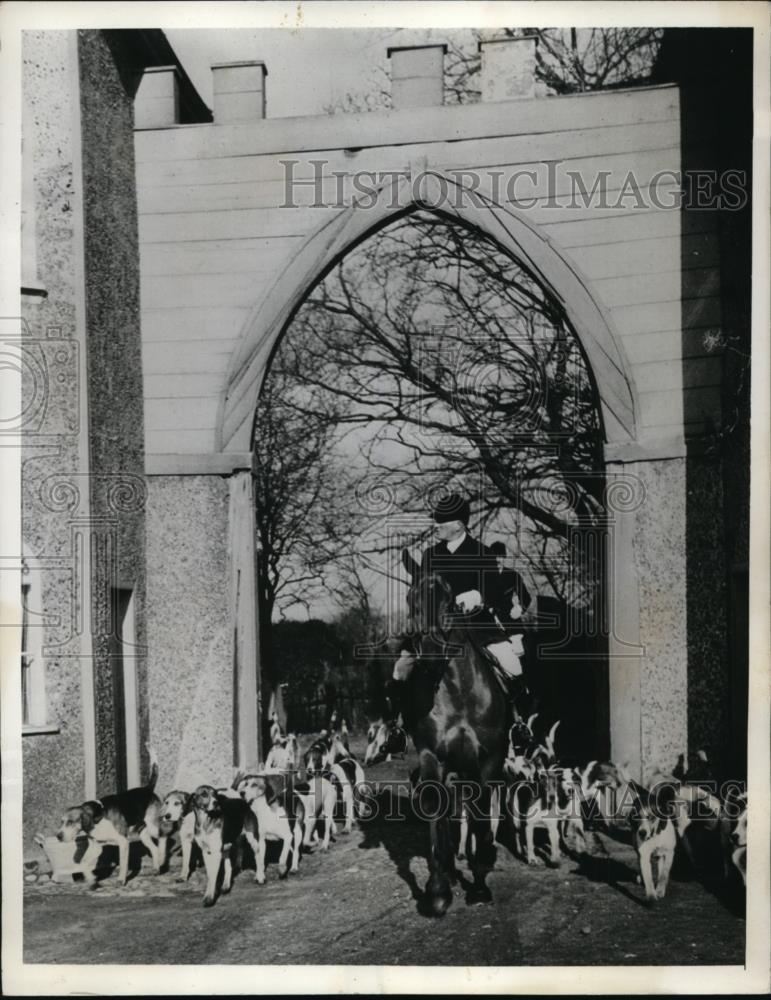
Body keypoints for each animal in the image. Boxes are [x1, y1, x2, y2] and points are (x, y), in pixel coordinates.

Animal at [398, 552, 512, 916]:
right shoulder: (431, 755)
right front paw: (437, 889)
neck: (459, 688)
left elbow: (481, 812)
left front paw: (480, 881)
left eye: (449, 601)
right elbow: (436, 806)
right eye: (411, 599)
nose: (431, 652)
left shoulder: (489, 757)